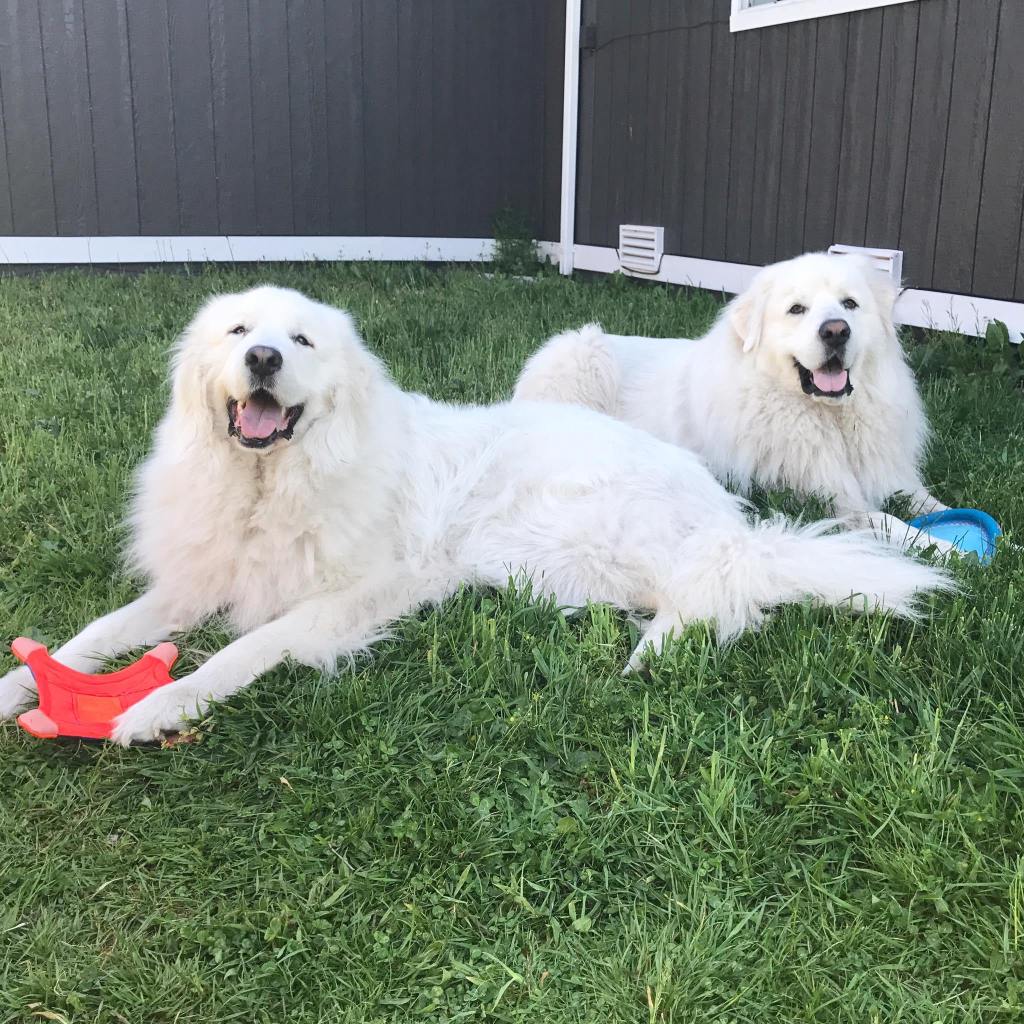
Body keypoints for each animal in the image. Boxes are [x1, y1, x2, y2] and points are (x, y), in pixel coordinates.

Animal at [0, 284, 950, 741]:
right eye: (238, 333)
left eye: (300, 341)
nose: (264, 358)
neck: (272, 483)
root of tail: (712, 498)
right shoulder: (194, 581)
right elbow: (92, 635)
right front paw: (19, 683)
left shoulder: (343, 598)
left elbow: (239, 654)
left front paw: (159, 707)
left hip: (581, 543)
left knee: (720, 591)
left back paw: (649, 654)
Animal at [516, 251, 946, 532]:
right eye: (797, 309)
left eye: (850, 304)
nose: (836, 331)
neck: (827, 417)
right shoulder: (825, 498)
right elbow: (889, 521)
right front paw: (947, 551)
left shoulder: (892, 477)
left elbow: (934, 504)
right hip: (583, 354)